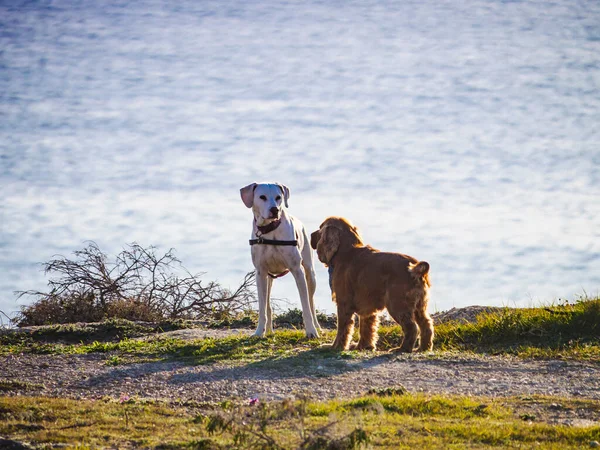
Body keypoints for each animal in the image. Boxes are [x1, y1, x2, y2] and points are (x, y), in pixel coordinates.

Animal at [241, 182, 322, 338]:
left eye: (278, 197)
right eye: (262, 197)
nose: (275, 210)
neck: (269, 230)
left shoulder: (298, 271)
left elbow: (306, 307)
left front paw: (311, 331)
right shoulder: (260, 273)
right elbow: (262, 307)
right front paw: (259, 332)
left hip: (310, 273)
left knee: (311, 301)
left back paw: (317, 327)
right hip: (268, 278)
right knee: (268, 304)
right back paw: (268, 330)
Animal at [312, 217, 434, 352]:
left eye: (320, 228)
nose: (311, 234)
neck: (347, 251)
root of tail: (416, 268)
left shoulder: (344, 303)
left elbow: (342, 329)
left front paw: (335, 347)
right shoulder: (368, 308)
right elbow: (366, 329)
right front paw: (363, 346)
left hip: (397, 305)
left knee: (412, 327)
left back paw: (402, 349)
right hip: (419, 306)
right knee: (426, 325)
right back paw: (423, 348)